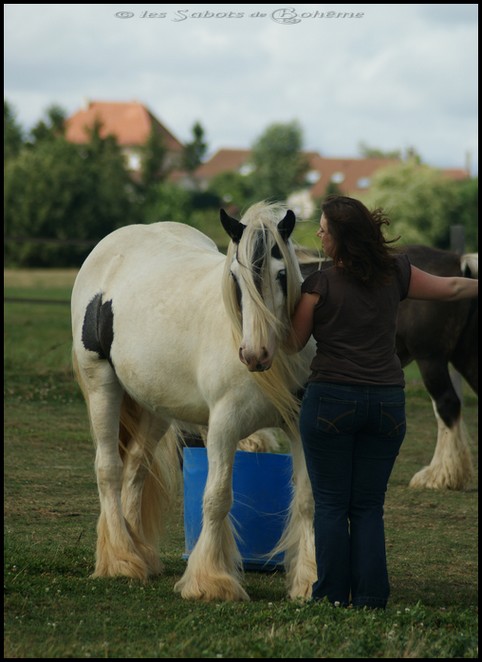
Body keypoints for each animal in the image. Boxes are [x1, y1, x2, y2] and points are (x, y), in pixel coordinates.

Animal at [70, 201, 316, 600]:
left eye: (282, 275)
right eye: (235, 278)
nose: (254, 354)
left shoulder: (299, 425)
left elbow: (308, 499)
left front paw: (309, 581)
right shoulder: (223, 427)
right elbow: (216, 498)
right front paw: (211, 582)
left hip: (155, 405)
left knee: (135, 468)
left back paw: (140, 552)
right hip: (101, 387)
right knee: (109, 470)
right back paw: (121, 559)